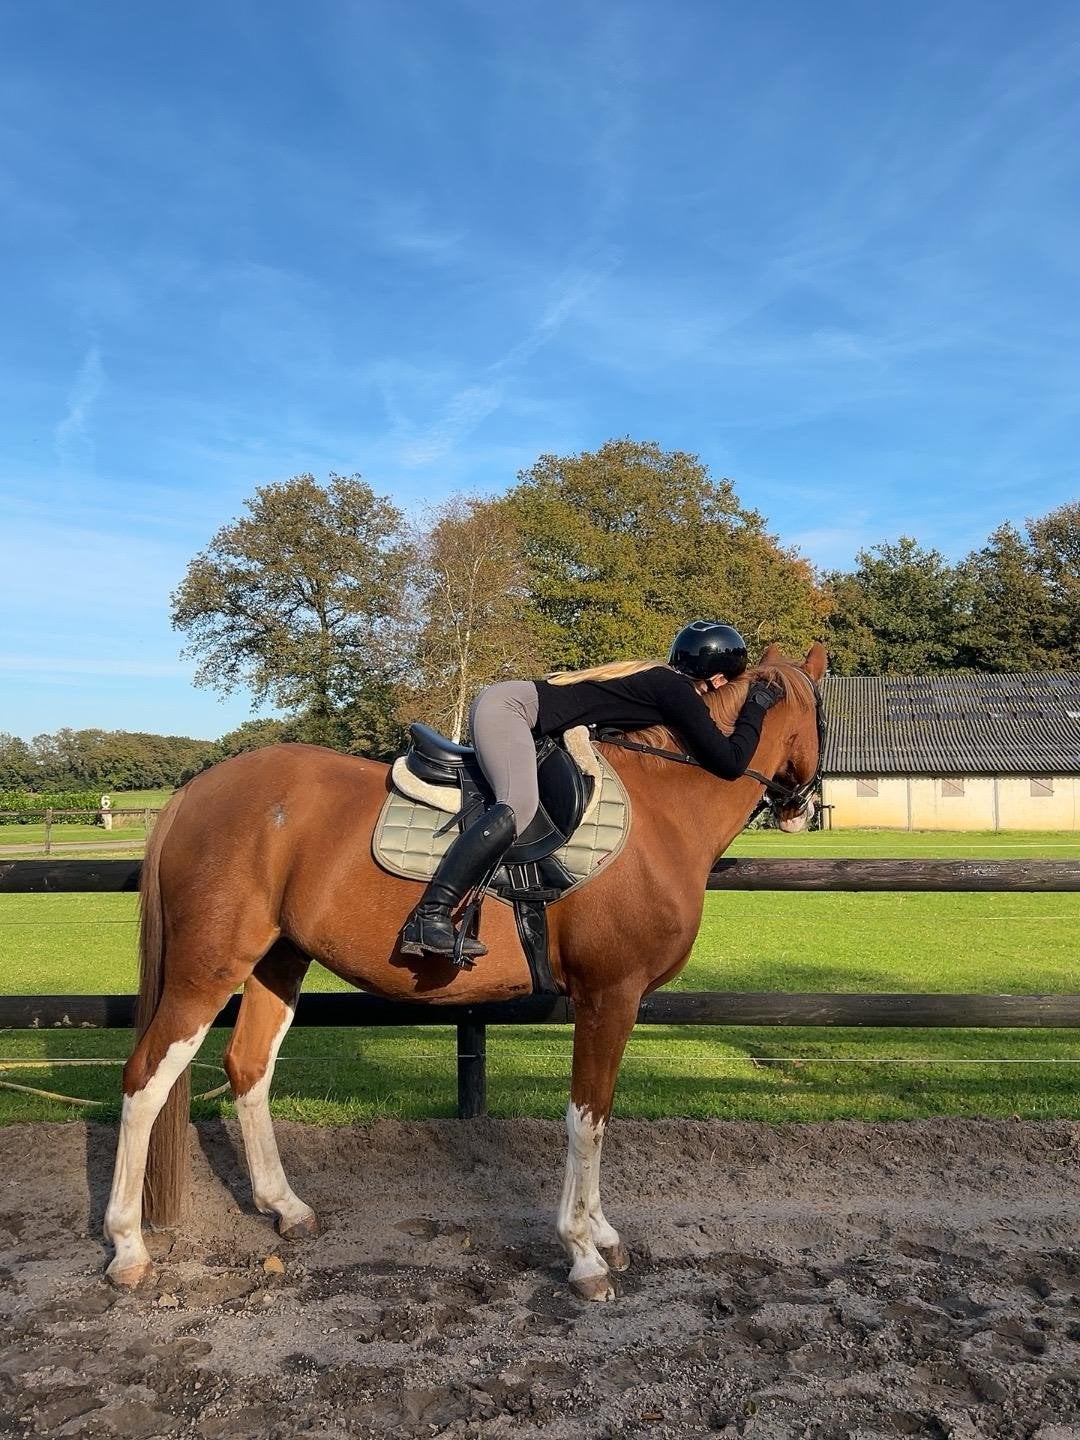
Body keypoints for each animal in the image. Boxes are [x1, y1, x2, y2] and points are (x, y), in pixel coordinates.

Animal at [104, 643, 826, 1301]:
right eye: (822, 709)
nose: (801, 808)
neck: (661, 804)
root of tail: (194, 791)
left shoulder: (612, 1002)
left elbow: (598, 1117)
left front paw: (602, 1232)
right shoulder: (608, 996)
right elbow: (587, 1119)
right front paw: (582, 1251)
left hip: (278, 962)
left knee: (249, 1067)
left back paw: (285, 1207)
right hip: (207, 968)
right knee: (146, 1079)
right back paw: (128, 1248)